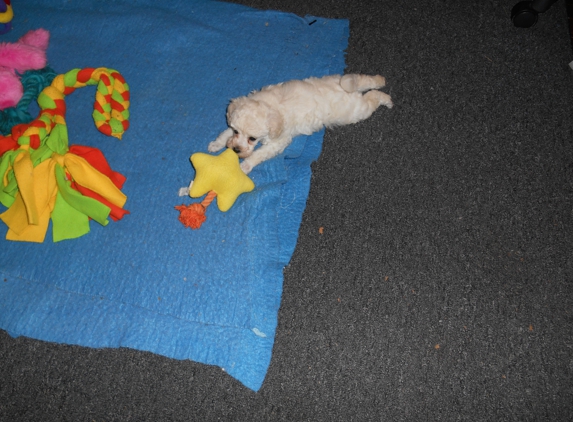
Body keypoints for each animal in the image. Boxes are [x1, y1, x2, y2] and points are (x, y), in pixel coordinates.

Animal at [210, 74, 394, 173]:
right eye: (237, 132)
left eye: (252, 139)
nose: (235, 150)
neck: (269, 105)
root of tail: (351, 92)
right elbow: (225, 133)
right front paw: (215, 144)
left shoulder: (278, 141)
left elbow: (260, 154)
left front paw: (246, 166)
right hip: (341, 80)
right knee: (364, 81)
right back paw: (380, 80)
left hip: (357, 111)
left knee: (372, 97)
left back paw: (386, 99)